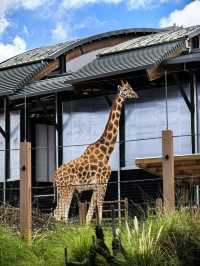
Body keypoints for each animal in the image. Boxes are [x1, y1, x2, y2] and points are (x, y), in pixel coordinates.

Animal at [53, 80, 138, 222]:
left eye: (131, 87)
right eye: (126, 89)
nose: (136, 95)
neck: (106, 152)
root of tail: (54, 175)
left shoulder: (96, 185)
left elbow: (90, 212)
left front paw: (88, 225)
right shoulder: (103, 182)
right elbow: (99, 206)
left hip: (66, 189)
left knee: (58, 213)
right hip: (66, 188)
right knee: (60, 214)